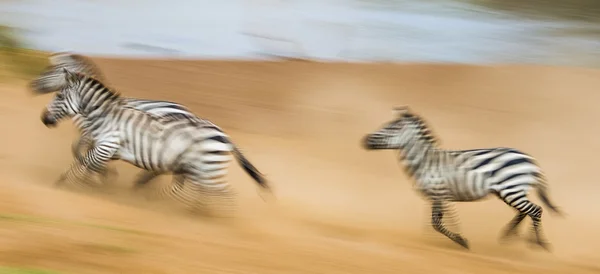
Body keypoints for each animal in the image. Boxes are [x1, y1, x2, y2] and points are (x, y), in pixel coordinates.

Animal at [29, 51, 199, 187]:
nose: (31, 86)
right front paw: (100, 173)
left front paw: (99, 174)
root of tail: (190, 112)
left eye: (49, 70)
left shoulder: (90, 135)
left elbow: (78, 151)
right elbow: (79, 151)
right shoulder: (93, 137)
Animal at [42, 69, 274, 214]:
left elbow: (82, 163)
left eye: (60, 96)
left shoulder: (106, 146)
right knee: (195, 190)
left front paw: (66, 185)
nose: (44, 119)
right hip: (198, 169)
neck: (105, 116)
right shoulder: (105, 148)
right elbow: (85, 160)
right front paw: (99, 182)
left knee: (223, 193)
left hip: (207, 168)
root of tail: (226, 137)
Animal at [360, 106, 564, 250]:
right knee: (524, 212)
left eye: (390, 128)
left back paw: (538, 243)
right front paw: (431, 241)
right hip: (509, 191)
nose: (364, 140)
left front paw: (461, 241)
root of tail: (531, 160)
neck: (425, 162)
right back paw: (509, 234)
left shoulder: (440, 192)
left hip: (511, 189)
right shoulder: (436, 196)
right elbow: (437, 221)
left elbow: (437, 223)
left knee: (535, 210)